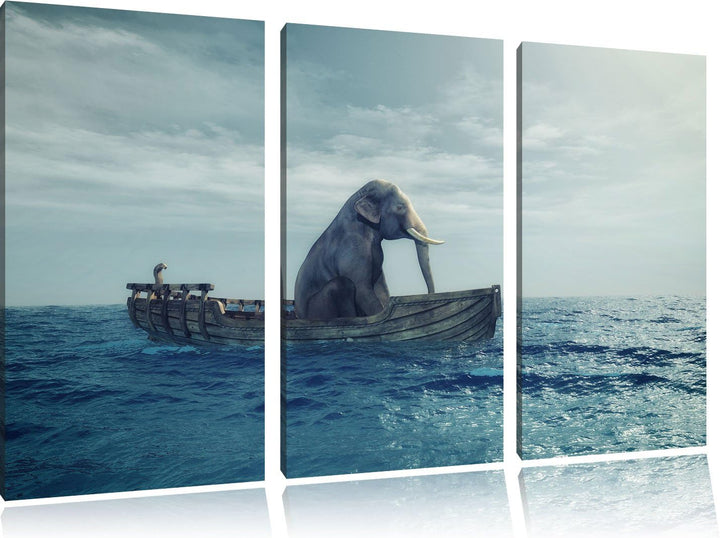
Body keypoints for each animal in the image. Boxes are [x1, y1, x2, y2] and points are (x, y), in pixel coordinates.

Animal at [294, 179, 444, 320]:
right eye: (400, 207)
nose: (429, 297)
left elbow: (381, 288)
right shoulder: (352, 249)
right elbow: (362, 289)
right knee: (342, 284)